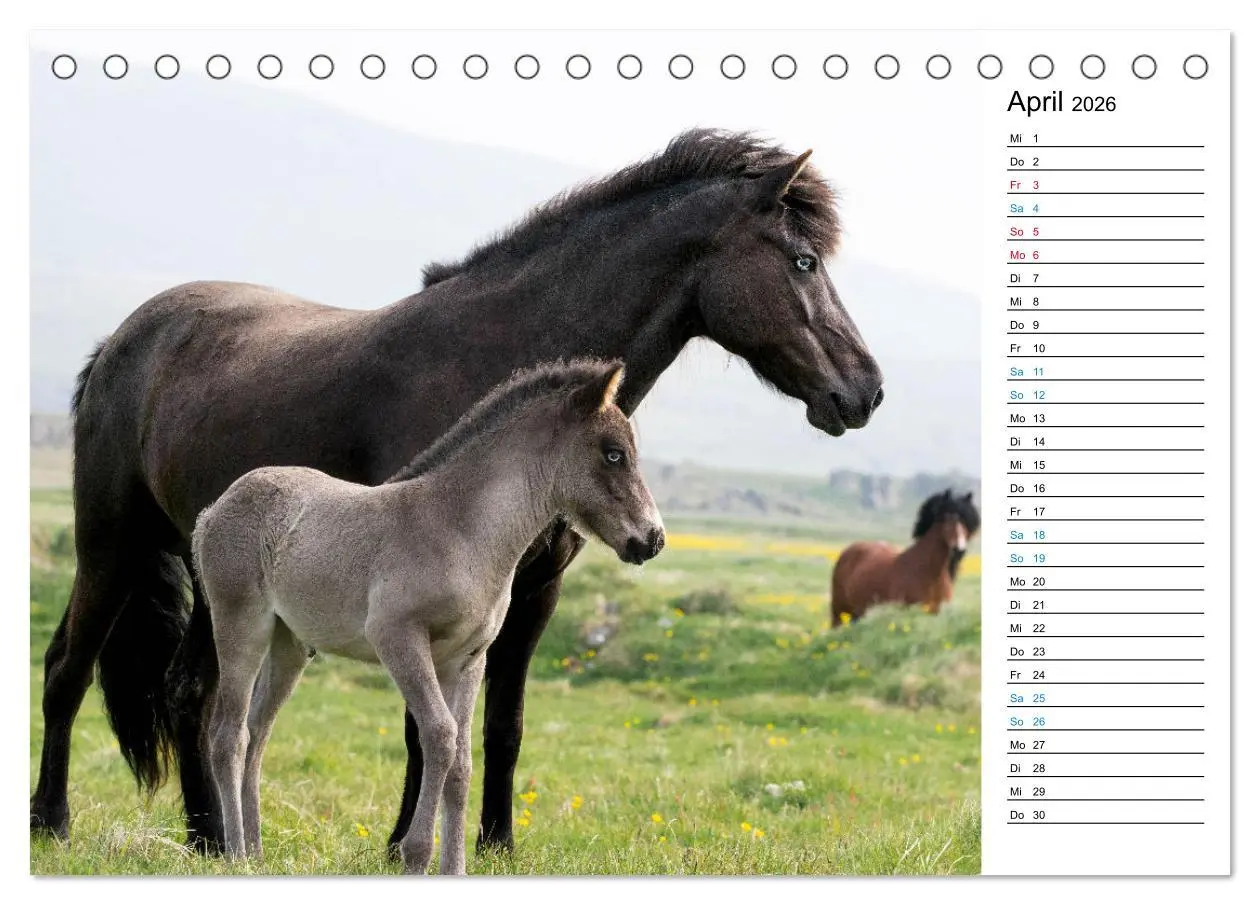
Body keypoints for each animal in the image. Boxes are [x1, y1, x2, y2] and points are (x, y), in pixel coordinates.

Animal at [194, 360, 661, 874]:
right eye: (614, 454)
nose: (653, 539)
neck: (461, 531)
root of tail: (213, 510)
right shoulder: (398, 639)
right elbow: (438, 735)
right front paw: (415, 854)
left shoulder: (468, 657)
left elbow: (461, 759)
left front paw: (453, 867)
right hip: (241, 625)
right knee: (229, 735)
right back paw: (236, 853)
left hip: (290, 645)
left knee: (259, 731)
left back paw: (257, 853)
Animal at [830, 490, 979, 625]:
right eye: (947, 518)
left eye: (967, 522)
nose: (959, 549)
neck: (928, 573)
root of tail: (847, 552)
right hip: (839, 613)